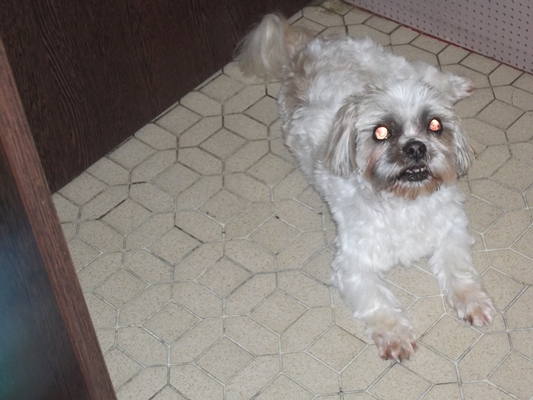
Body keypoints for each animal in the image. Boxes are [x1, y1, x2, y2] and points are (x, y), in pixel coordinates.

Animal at [236, 14, 495, 361]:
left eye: (435, 125)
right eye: (381, 132)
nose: (415, 147)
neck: (405, 204)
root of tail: (308, 47)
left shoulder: (451, 230)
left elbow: (459, 270)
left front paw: (472, 300)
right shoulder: (352, 265)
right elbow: (377, 301)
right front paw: (394, 334)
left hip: (394, 64)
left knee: (425, 71)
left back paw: (455, 84)